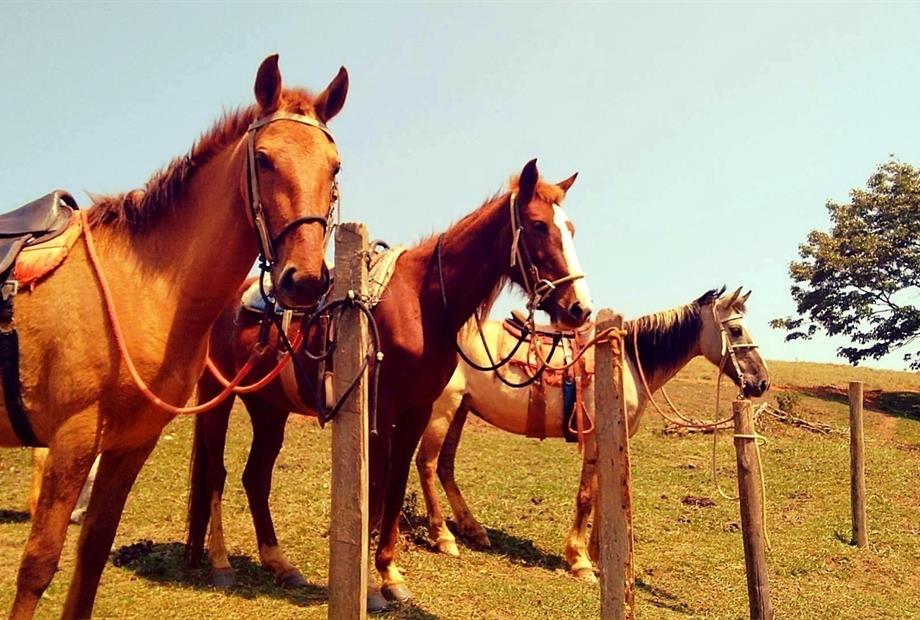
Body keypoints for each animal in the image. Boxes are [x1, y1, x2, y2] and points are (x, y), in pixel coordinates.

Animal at [3, 54, 348, 619]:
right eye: (265, 159)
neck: (139, 286)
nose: (304, 280)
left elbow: (91, 555)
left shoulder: (130, 444)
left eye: (334, 167)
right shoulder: (72, 441)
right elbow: (38, 566)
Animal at [184, 159, 594, 604]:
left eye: (571, 229)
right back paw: (221, 564)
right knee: (215, 474)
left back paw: (280, 564)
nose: (579, 308)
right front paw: (369, 585)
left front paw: (390, 574)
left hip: (268, 409)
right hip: (218, 398)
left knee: (255, 477)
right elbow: (376, 490)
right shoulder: (379, 412)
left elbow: (395, 487)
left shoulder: (416, 412)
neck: (421, 304)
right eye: (538, 226)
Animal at [414, 286, 770, 579]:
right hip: (443, 410)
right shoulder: (595, 437)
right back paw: (443, 537)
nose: (761, 382)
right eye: (735, 329)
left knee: (445, 466)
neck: (625, 362)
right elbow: (587, 495)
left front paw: (600, 554)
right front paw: (580, 560)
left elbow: (601, 493)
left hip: (461, 408)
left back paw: (473, 529)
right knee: (427, 464)